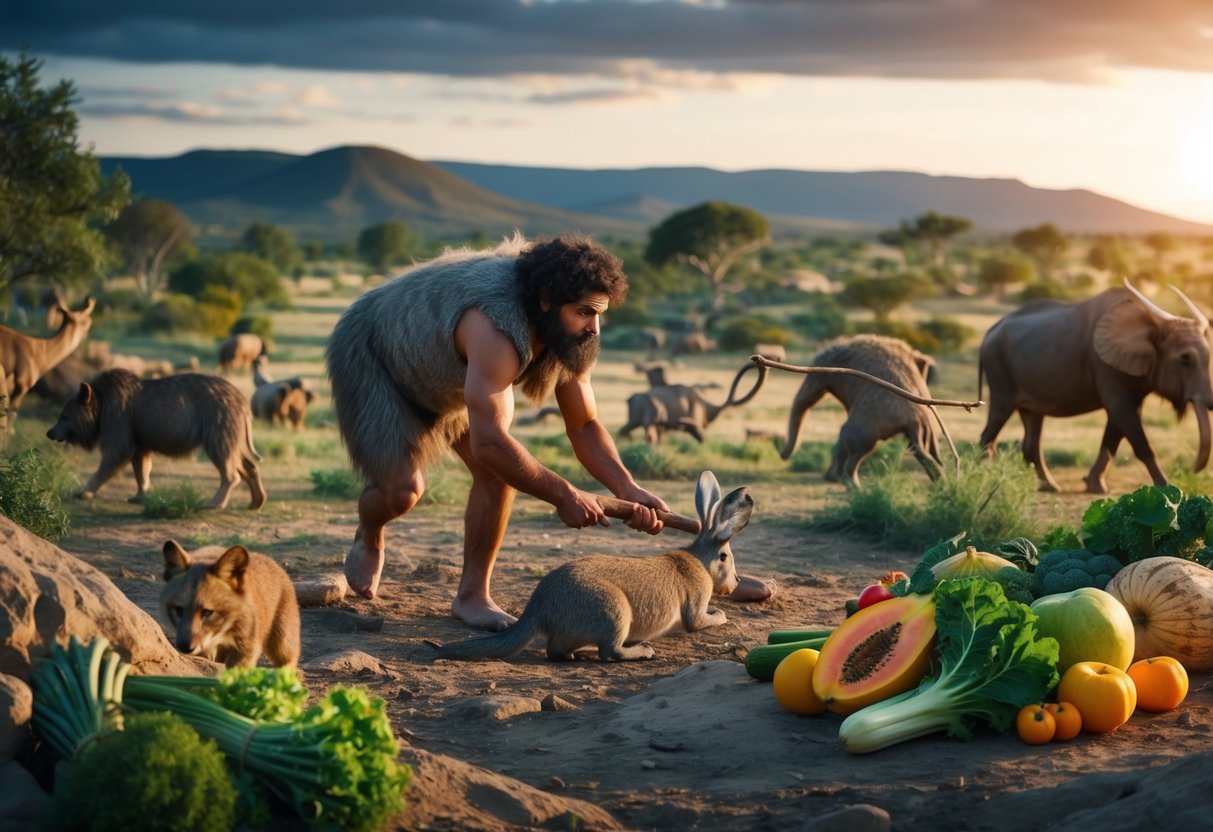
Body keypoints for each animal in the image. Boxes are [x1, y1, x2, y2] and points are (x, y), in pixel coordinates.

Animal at [49, 371, 265, 511]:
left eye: (65, 416)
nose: (50, 433)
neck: (101, 405)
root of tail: (244, 403)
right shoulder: (140, 441)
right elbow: (141, 470)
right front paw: (140, 495)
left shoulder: (119, 426)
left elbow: (111, 461)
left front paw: (83, 491)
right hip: (233, 434)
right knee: (248, 465)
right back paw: (256, 501)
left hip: (218, 429)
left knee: (230, 470)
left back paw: (215, 503)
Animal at [436, 473, 747, 659]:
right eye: (725, 556)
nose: (736, 584)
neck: (699, 561)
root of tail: (537, 608)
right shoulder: (695, 608)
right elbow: (705, 620)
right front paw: (720, 613)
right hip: (616, 610)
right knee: (610, 651)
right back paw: (641, 650)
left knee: (557, 651)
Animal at [781, 332, 941, 489]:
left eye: (816, 372)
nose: (781, 451)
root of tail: (914, 420)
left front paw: (833, 478)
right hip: (925, 429)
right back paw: (941, 482)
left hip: (866, 429)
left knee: (851, 445)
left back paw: (854, 486)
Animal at [980, 280, 1208, 494]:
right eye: (1185, 359)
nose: (1193, 469)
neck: (1151, 323)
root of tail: (990, 331)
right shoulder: (1106, 368)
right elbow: (1128, 424)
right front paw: (1168, 489)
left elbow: (1115, 431)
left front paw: (1095, 485)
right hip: (1000, 375)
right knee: (993, 427)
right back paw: (983, 480)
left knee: (1032, 435)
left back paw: (1050, 487)